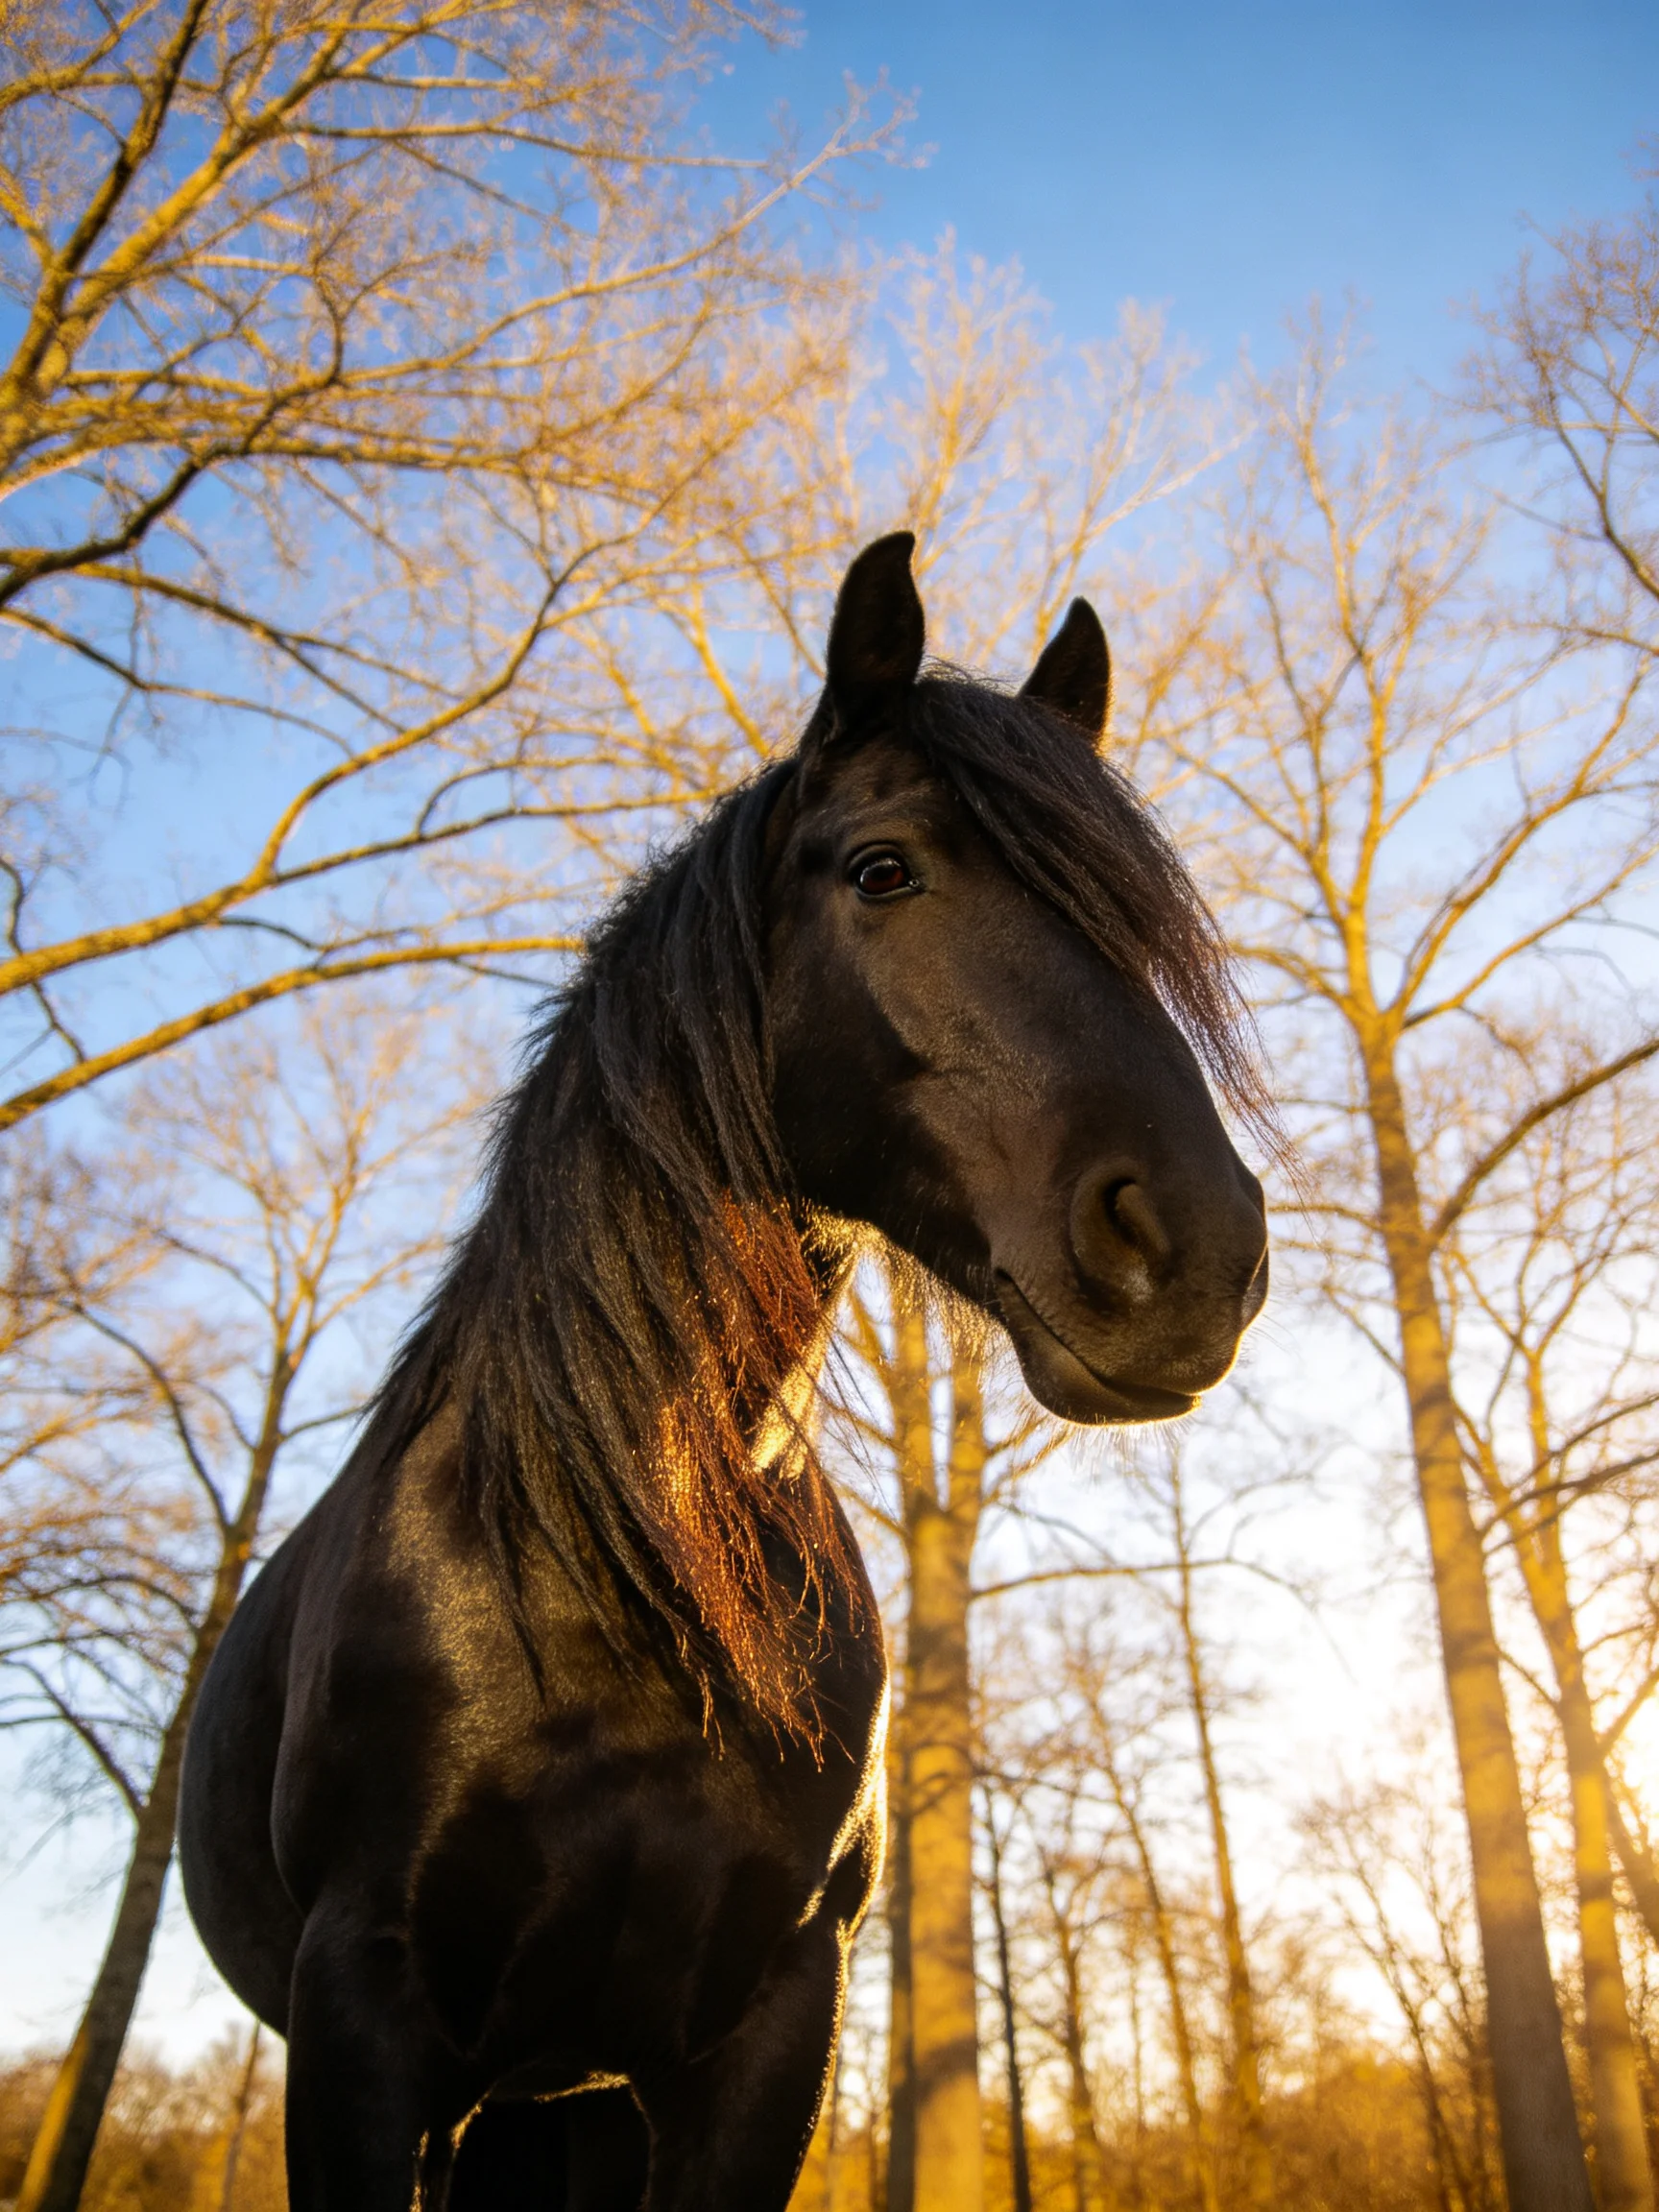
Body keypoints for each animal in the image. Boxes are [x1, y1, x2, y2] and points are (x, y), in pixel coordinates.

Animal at [178, 533, 1270, 2212]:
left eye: (1134, 924)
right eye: (881, 869)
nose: (1199, 1253)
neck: (614, 1568)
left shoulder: (767, 2032)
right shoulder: (362, 2023)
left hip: (563, 2112)